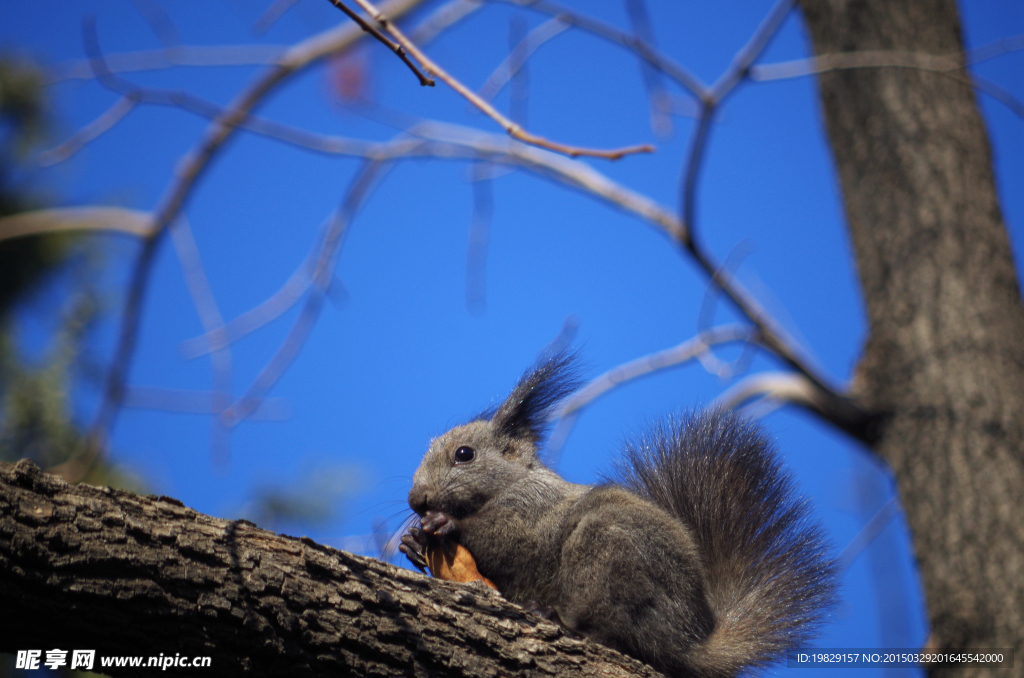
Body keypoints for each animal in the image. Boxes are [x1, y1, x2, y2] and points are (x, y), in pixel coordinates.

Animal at [397, 356, 831, 678]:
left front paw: (446, 525)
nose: (416, 500)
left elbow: (512, 539)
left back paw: (559, 619)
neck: (510, 484)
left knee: (614, 630)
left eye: (464, 454)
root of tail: (689, 641)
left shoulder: (535, 509)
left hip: (608, 555)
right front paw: (413, 543)